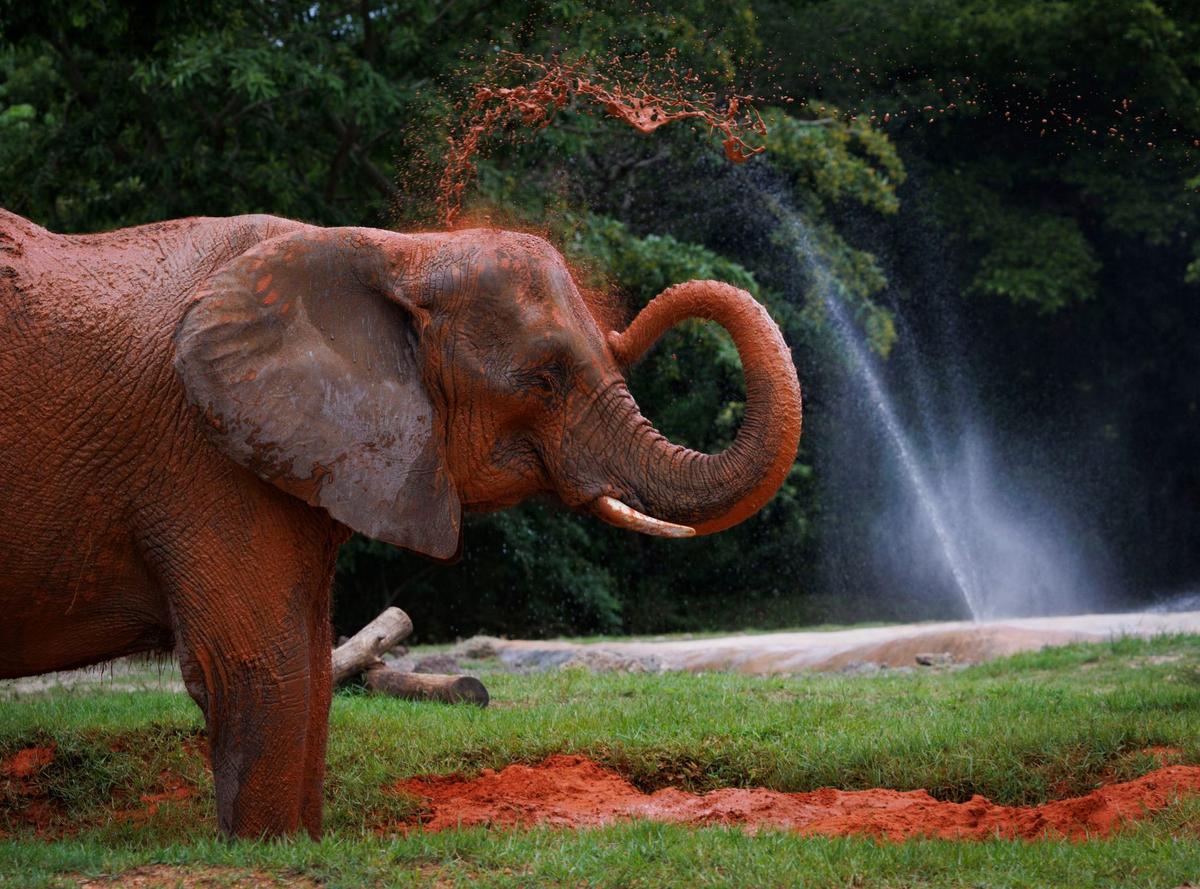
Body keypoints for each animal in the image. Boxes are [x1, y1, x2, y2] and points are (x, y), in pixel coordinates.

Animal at [0, 208, 802, 837]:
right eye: (543, 380)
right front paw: (267, 849)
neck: (397, 252)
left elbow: (311, 665)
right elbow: (260, 666)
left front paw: (302, 844)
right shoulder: (202, 456)